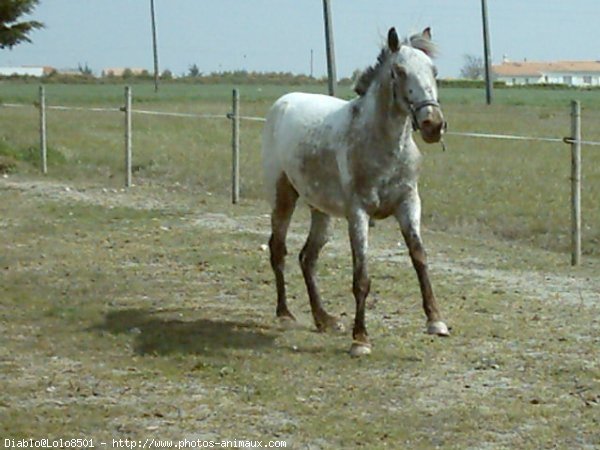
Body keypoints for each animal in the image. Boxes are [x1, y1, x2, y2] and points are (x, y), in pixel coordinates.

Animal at [260, 28, 448, 356]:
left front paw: (435, 321)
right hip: (283, 197)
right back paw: (285, 314)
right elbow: (361, 276)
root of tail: (283, 102)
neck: (381, 144)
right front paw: (360, 339)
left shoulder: (408, 204)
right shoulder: (358, 213)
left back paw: (324, 319)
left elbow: (420, 258)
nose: (432, 125)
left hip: (321, 211)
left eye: (434, 71)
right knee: (278, 250)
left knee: (307, 258)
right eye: (399, 71)